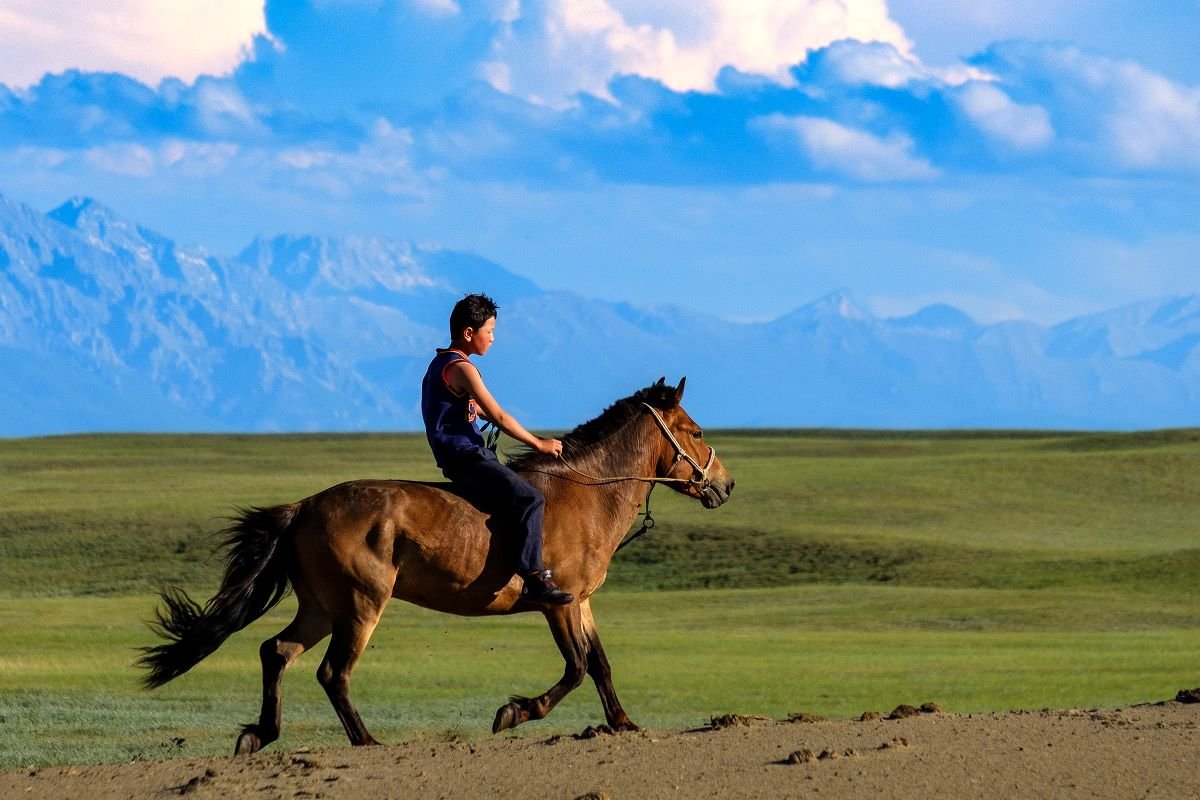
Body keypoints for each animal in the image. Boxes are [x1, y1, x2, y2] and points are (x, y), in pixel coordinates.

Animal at [138, 377, 734, 755]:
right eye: (698, 431)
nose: (725, 485)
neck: (584, 493)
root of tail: (305, 506)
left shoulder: (581, 602)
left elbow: (601, 666)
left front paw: (623, 724)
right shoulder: (558, 603)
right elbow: (577, 667)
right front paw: (515, 712)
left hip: (322, 607)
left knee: (276, 651)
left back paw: (260, 734)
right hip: (359, 606)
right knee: (332, 672)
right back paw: (366, 741)